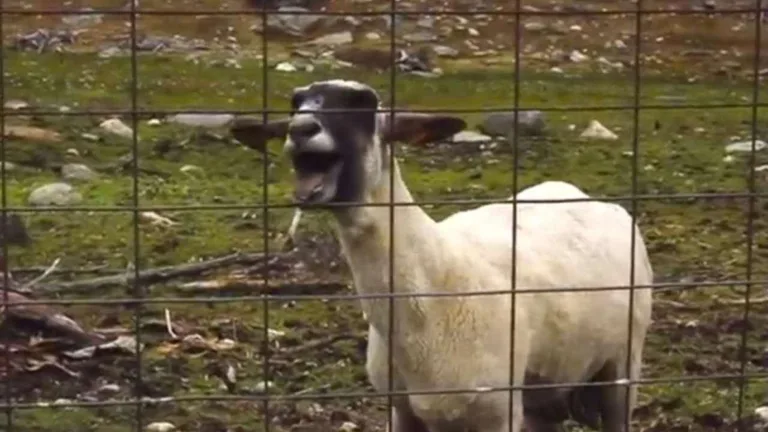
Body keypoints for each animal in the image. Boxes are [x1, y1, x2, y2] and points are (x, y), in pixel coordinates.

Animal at [229, 79, 654, 432]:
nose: (300, 130)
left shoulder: (497, 413)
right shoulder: (402, 410)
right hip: (545, 385)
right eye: (296, 102)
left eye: (361, 104)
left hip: (623, 363)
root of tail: (583, 194)